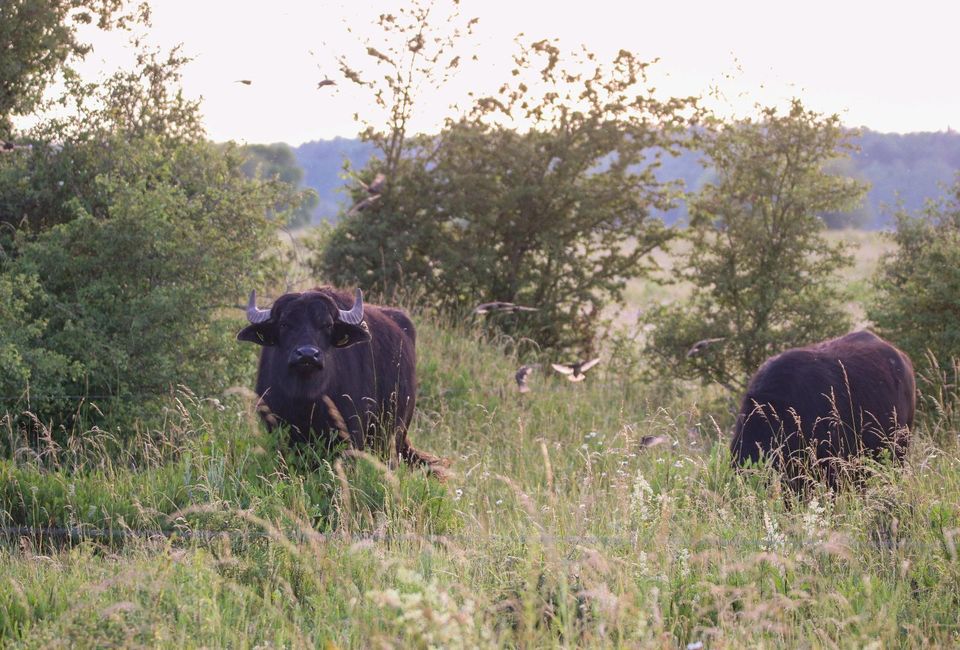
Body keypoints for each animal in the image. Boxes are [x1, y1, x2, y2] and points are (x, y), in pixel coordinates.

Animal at [238, 288, 440, 470]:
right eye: (284, 324)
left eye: (327, 325)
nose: (307, 355)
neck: (305, 399)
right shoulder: (276, 429)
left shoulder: (352, 432)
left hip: (393, 433)